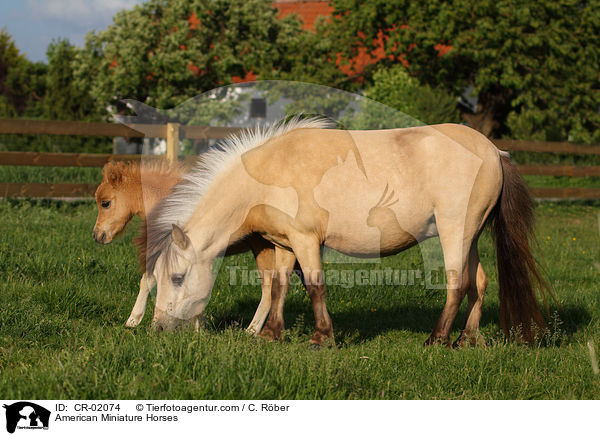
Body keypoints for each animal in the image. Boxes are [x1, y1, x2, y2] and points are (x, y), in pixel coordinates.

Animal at [92, 160, 284, 334]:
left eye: (105, 203)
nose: (97, 235)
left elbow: (148, 280)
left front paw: (133, 320)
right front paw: (199, 325)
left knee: (268, 291)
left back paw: (252, 331)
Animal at [146, 116, 548, 348]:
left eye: (178, 277)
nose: (159, 328)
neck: (268, 175)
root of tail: (494, 151)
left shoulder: (307, 241)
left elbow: (314, 286)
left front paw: (322, 338)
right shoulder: (285, 245)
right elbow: (278, 288)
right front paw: (271, 334)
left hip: (455, 231)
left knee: (457, 283)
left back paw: (437, 339)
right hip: (471, 236)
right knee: (478, 281)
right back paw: (467, 339)